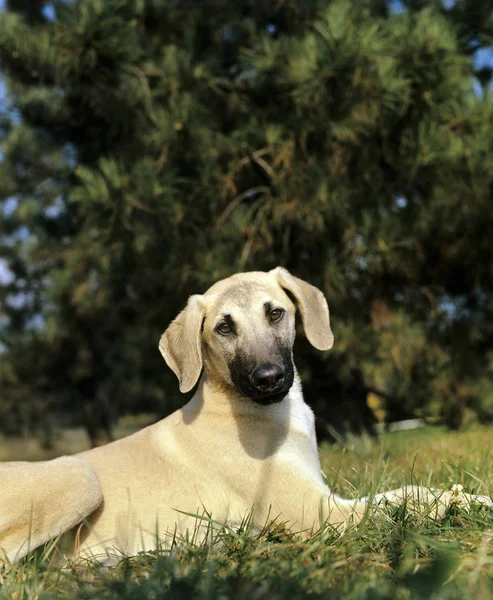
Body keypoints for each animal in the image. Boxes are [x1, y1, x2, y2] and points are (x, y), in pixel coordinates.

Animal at [0, 268, 490, 564]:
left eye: (275, 313)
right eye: (223, 327)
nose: (269, 379)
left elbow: (407, 493)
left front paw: (471, 497)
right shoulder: (323, 514)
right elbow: (411, 499)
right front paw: (464, 501)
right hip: (79, 475)